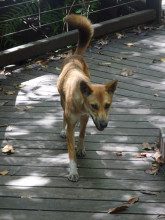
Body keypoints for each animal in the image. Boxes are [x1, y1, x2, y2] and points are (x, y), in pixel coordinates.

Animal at [57, 14, 118, 182]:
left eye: (107, 105)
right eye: (94, 106)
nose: (104, 125)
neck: (80, 104)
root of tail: (75, 55)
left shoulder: (86, 117)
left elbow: (82, 134)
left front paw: (81, 148)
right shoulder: (73, 121)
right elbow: (71, 151)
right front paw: (73, 171)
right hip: (61, 101)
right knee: (63, 116)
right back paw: (63, 129)